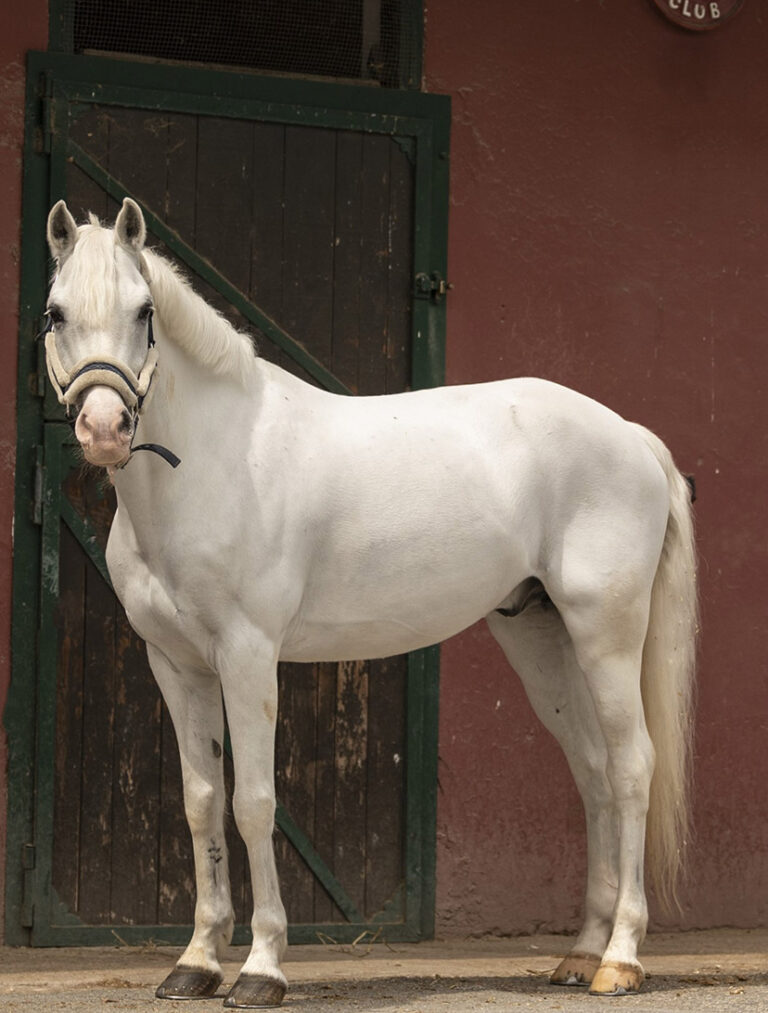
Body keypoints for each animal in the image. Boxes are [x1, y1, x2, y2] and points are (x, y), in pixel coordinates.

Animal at [43, 197, 697, 1006]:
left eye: (143, 312)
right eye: (55, 312)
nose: (104, 429)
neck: (214, 461)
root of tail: (632, 436)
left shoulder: (248, 656)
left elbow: (253, 802)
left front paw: (261, 969)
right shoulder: (174, 662)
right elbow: (200, 802)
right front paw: (195, 963)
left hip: (607, 633)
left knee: (632, 767)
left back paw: (621, 958)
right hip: (543, 639)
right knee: (595, 774)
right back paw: (581, 951)